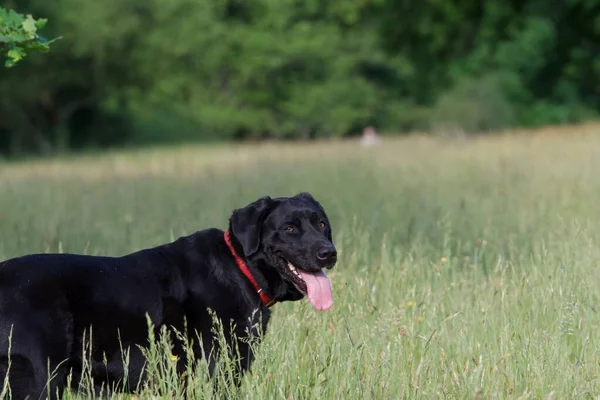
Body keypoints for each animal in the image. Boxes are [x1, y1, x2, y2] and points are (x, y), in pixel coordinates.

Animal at [0, 192, 336, 398]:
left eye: (321, 224)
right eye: (290, 228)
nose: (329, 253)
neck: (240, 267)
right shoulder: (218, 370)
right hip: (37, 379)